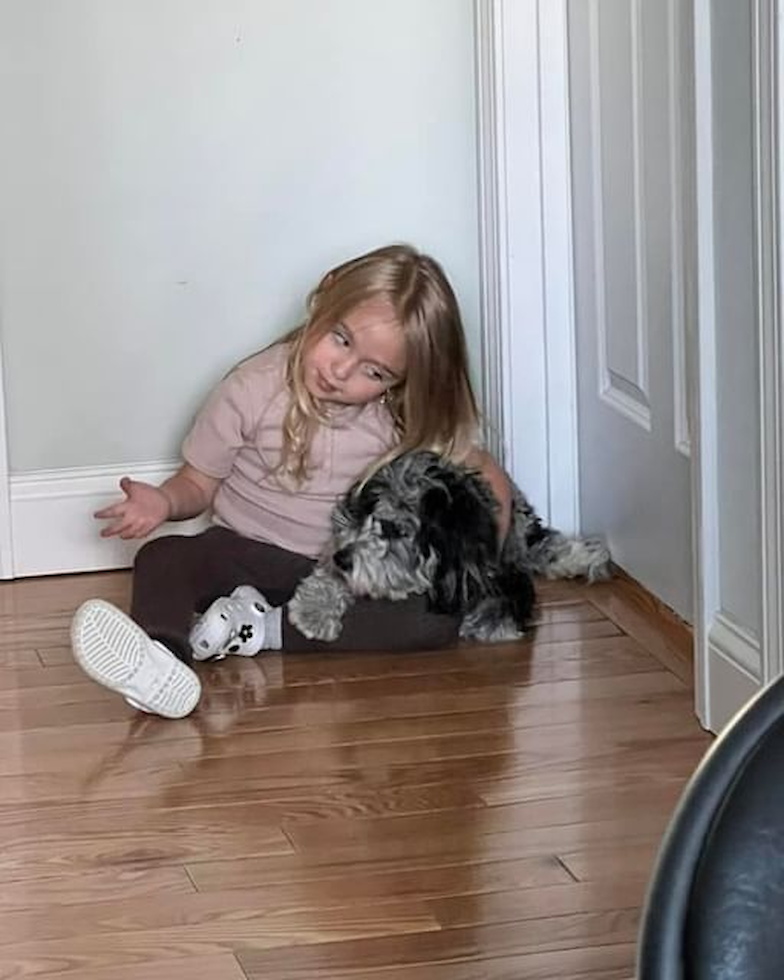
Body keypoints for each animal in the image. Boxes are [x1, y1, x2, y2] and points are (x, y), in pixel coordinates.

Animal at [290, 456, 612, 648]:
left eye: (395, 530)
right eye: (363, 516)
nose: (341, 559)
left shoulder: (504, 573)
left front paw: (486, 622)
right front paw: (314, 610)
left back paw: (588, 556)